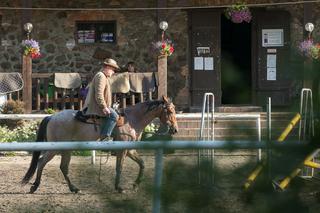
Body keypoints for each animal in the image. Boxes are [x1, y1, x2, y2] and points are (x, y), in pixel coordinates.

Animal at [21, 96, 179, 193]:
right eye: (170, 110)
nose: (175, 129)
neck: (132, 120)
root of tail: (52, 116)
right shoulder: (122, 150)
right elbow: (119, 167)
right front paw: (119, 187)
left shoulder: (130, 150)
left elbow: (142, 164)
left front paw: (135, 184)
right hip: (56, 149)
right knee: (42, 162)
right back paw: (35, 186)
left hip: (67, 149)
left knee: (63, 167)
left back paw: (73, 188)